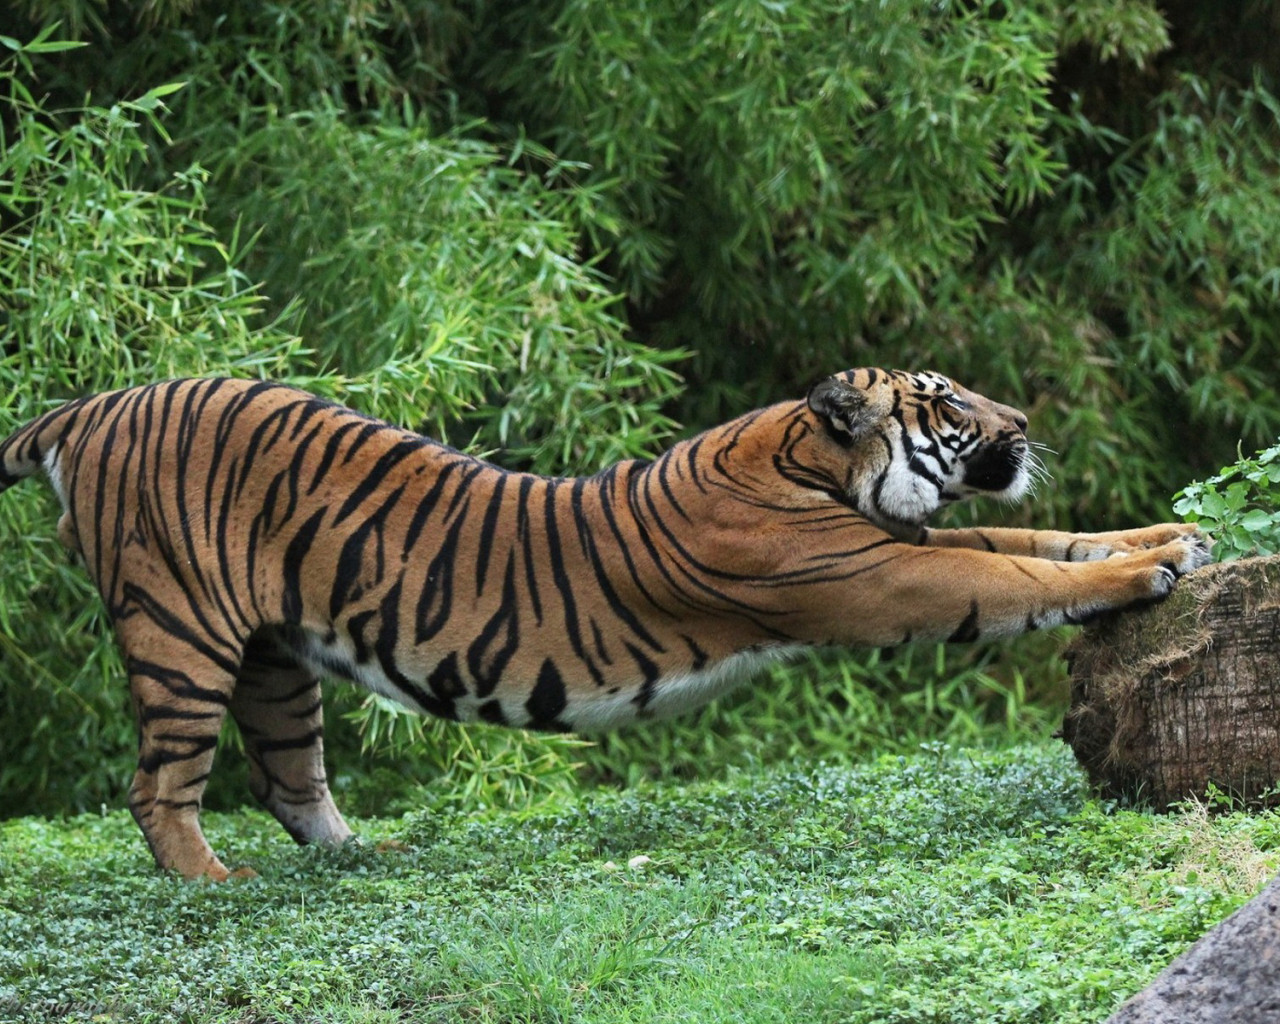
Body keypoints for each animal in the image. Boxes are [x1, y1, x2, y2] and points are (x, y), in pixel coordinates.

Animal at [0, 371, 1208, 880]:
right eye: (950, 403)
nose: (1025, 420)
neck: (813, 464)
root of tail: (88, 405)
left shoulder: (896, 544)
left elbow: (1036, 539)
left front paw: (1169, 533)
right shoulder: (879, 575)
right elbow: (1005, 575)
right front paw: (1147, 569)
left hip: (273, 656)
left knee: (291, 777)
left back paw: (361, 857)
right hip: (181, 632)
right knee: (157, 786)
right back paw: (213, 882)